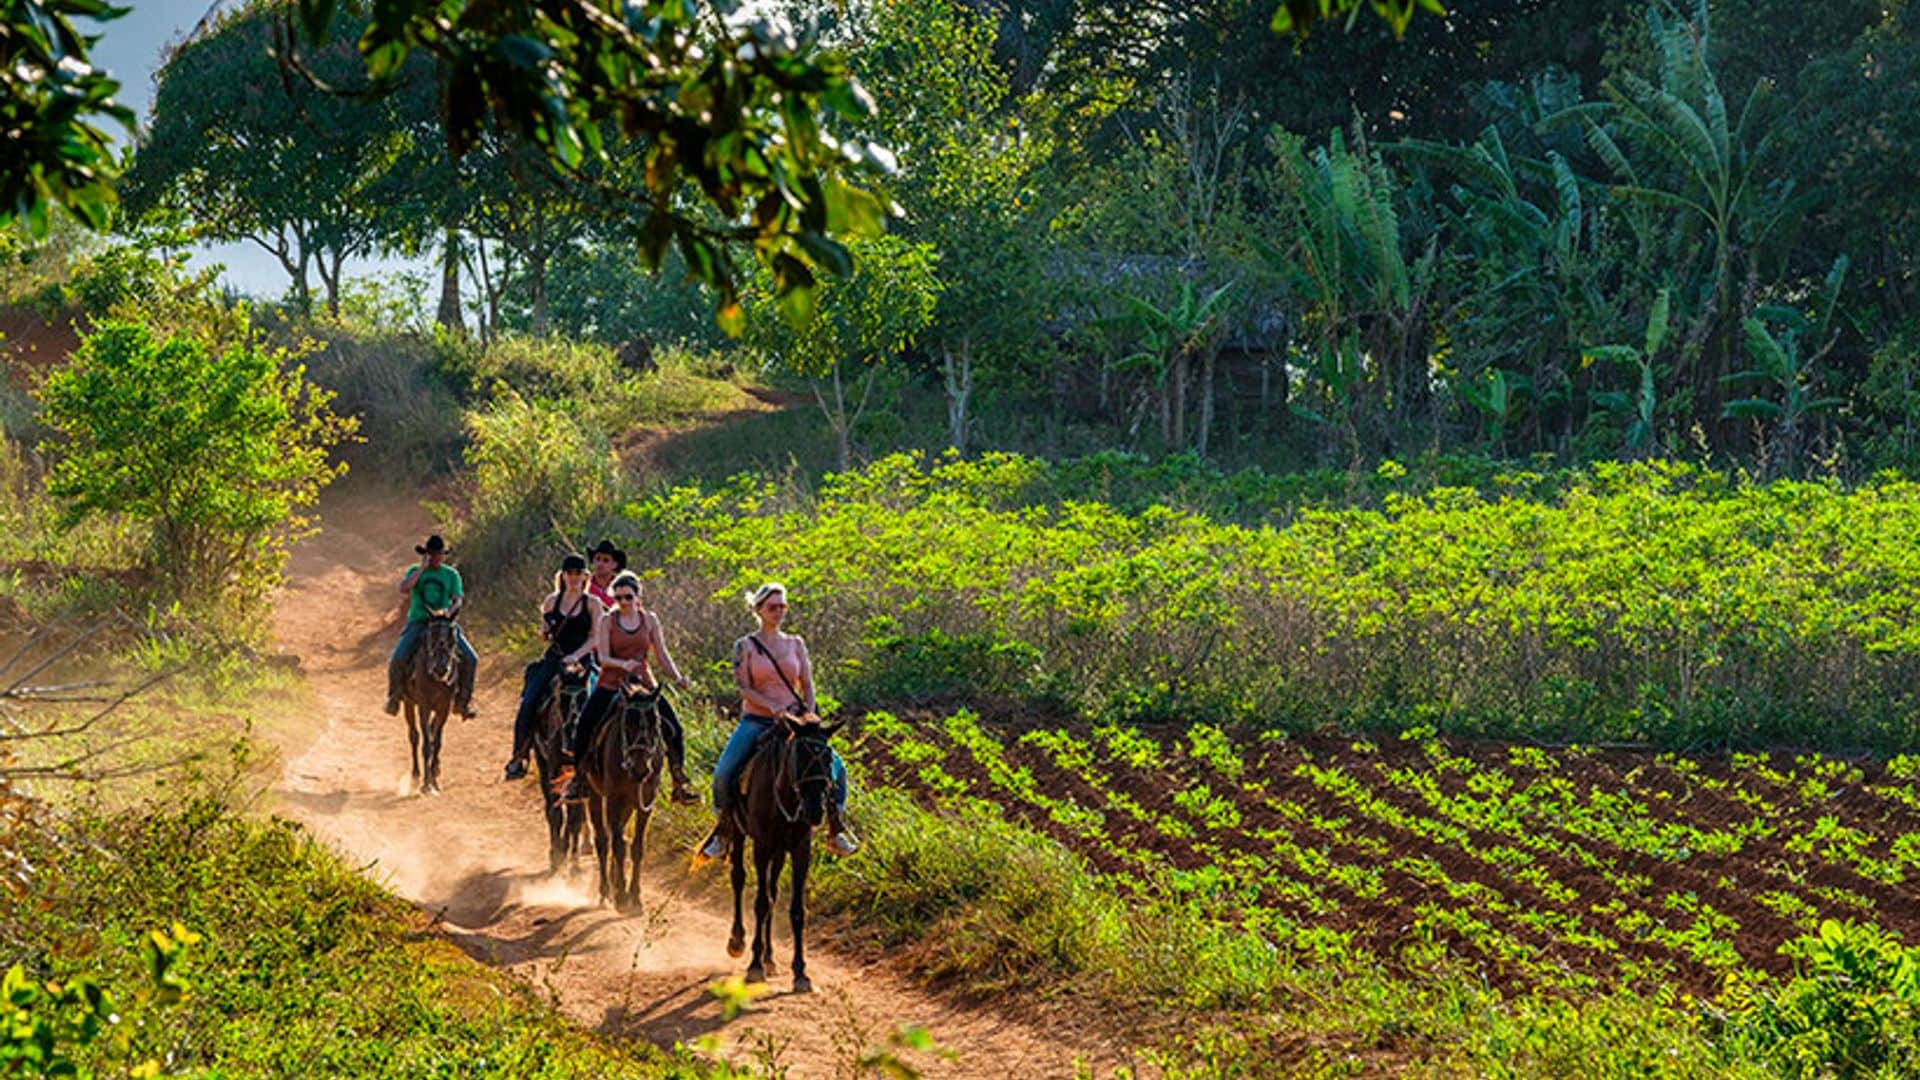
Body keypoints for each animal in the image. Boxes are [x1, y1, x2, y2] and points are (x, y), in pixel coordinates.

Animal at [397, 611, 456, 795]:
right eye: (431, 635)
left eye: (453, 638)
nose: (441, 669)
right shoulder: (424, 706)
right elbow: (426, 745)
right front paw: (425, 784)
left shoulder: (444, 708)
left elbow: (436, 742)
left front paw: (434, 781)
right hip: (408, 703)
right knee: (414, 736)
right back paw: (416, 775)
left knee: (430, 732)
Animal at [579, 684, 664, 903]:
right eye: (627, 724)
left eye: (656, 724)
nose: (641, 769)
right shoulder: (613, 800)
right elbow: (618, 845)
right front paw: (622, 896)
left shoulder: (645, 803)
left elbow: (636, 847)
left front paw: (634, 894)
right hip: (595, 795)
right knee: (603, 840)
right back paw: (605, 889)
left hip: (628, 805)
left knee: (615, 834)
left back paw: (614, 882)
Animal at [725, 714, 840, 991]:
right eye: (800, 756)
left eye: (828, 759)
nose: (815, 810)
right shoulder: (762, 845)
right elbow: (760, 903)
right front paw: (754, 965)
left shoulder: (800, 849)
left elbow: (796, 909)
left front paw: (800, 973)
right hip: (738, 830)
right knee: (739, 878)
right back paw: (738, 941)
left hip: (779, 851)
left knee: (773, 891)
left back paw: (770, 958)